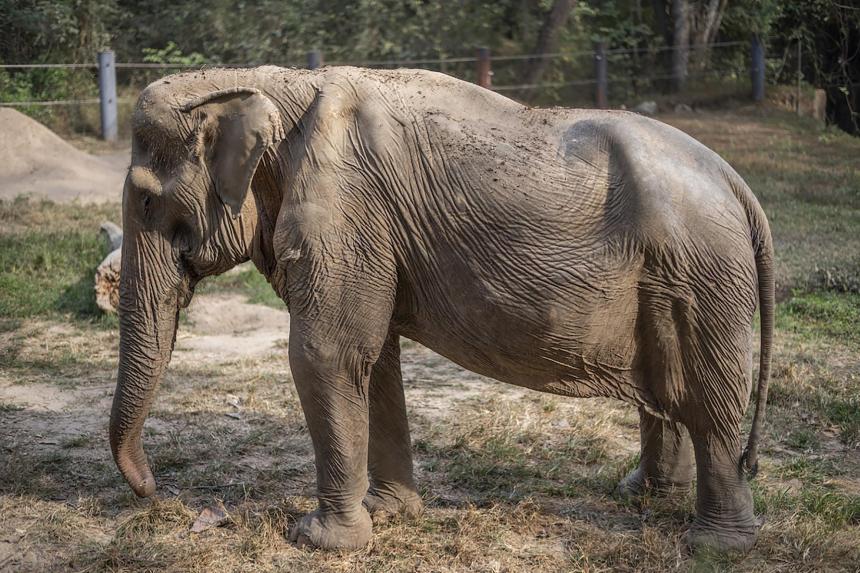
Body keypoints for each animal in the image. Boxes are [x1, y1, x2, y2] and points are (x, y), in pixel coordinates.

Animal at [109, 65, 774, 554]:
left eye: (145, 202)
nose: (158, 493)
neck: (267, 83)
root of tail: (739, 185)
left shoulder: (346, 208)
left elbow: (325, 354)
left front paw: (321, 541)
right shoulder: (369, 230)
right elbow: (373, 360)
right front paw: (388, 512)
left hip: (703, 276)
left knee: (709, 400)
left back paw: (716, 546)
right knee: (670, 389)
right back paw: (641, 496)